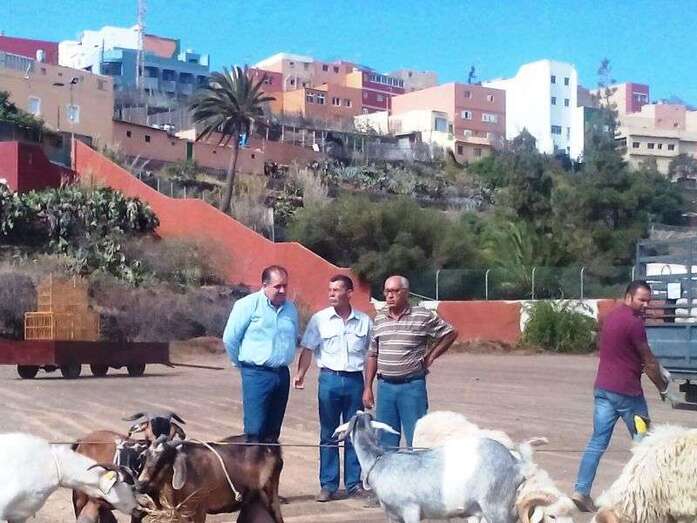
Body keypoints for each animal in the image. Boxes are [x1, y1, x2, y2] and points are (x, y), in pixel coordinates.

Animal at [136, 434, 284, 523]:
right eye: (146, 456)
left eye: (163, 460)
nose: (140, 484)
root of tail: (273, 446)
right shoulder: (181, 512)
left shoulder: (199, 508)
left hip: (270, 492)